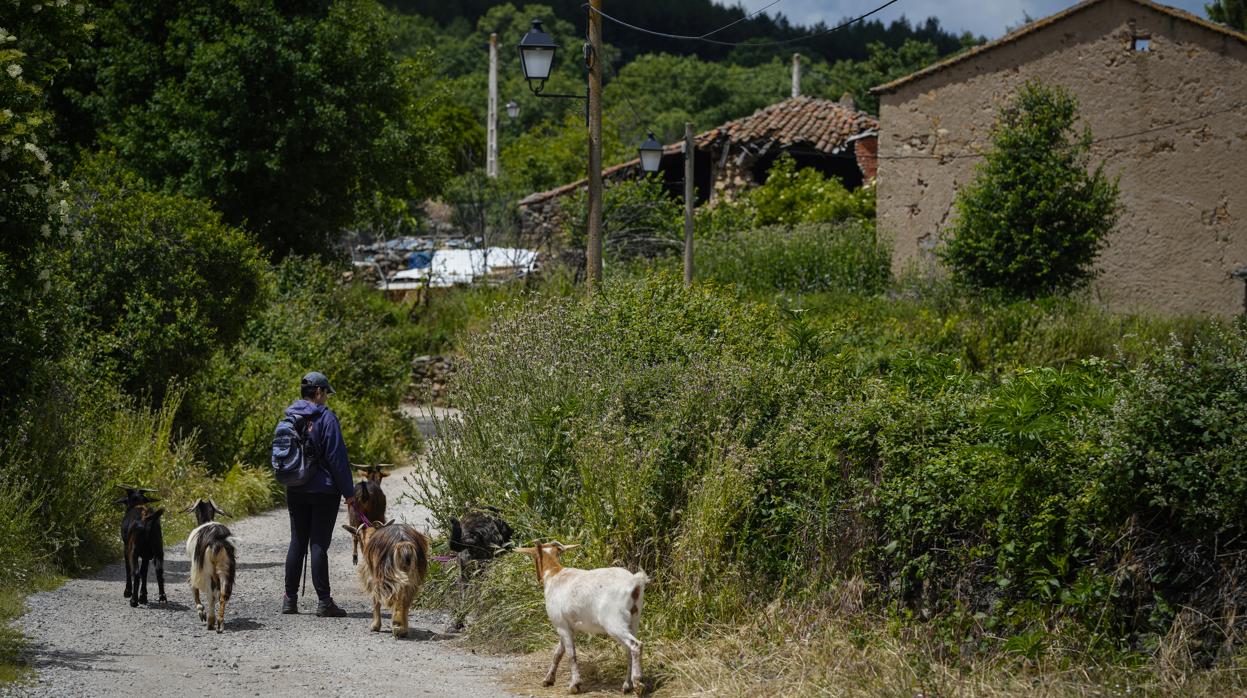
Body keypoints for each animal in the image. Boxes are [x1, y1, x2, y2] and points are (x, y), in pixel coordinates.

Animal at [516, 540, 653, 693]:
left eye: (533, 555)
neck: (554, 575)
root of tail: (635, 583)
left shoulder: (561, 625)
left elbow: (571, 654)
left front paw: (574, 685)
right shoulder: (566, 626)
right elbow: (558, 653)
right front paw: (548, 679)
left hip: (614, 622)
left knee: (636, 645)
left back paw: (638, 683)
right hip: (633, 620)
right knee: (628, 650)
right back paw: (627, 685)